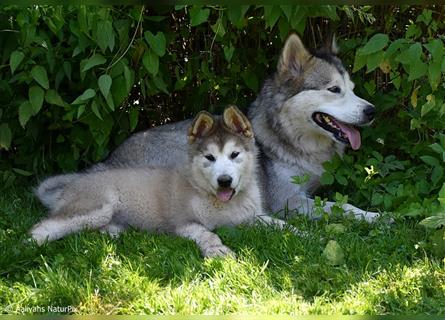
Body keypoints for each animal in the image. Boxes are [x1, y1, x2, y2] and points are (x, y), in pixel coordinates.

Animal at [33, 106, 294, 258]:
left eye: (234, 154)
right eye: (209, 158)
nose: (224, 181)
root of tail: (70, 186)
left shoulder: (253, 216)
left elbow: (280, 224)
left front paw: (301, 234)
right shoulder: (184, 223)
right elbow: (208, 234)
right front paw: (217, 249)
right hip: (95, 208)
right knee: (42, 228)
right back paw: (28, 247)